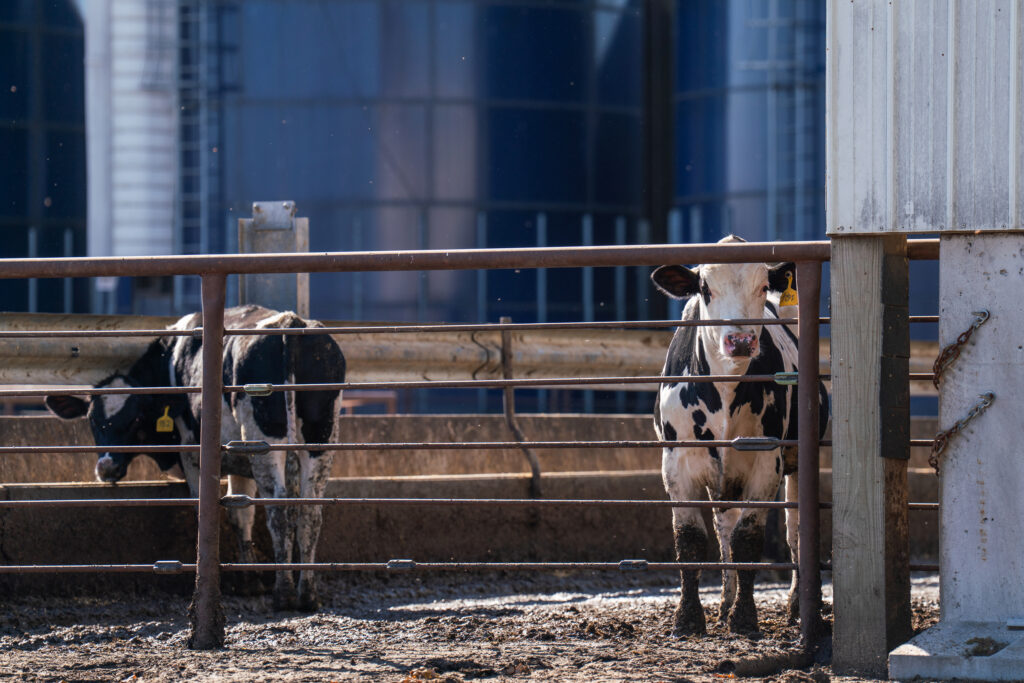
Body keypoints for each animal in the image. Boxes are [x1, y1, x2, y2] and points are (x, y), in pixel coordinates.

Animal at [45, 305, 345, 612]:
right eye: (93, 420)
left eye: (136, 419)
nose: (106, 467)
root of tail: (289, 321)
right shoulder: (238, 458)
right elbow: (241, 513)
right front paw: (249, 581)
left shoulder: (192, 455)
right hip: (321, 436)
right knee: (310, 511)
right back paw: (307, 593)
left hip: (264, 440)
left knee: (279, 509)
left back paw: (284, 593)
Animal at [651, 235, 829, 636]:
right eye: (704, 288)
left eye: (762, 286)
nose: (741, 340)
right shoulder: (676, 464)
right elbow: (691, 541)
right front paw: (688, 618)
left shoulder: (766, 463)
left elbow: (748, 538)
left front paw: (745, 618)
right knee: (724, 528)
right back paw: (724, 601)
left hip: (797, 465)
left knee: (796, 534)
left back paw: (797, 606)